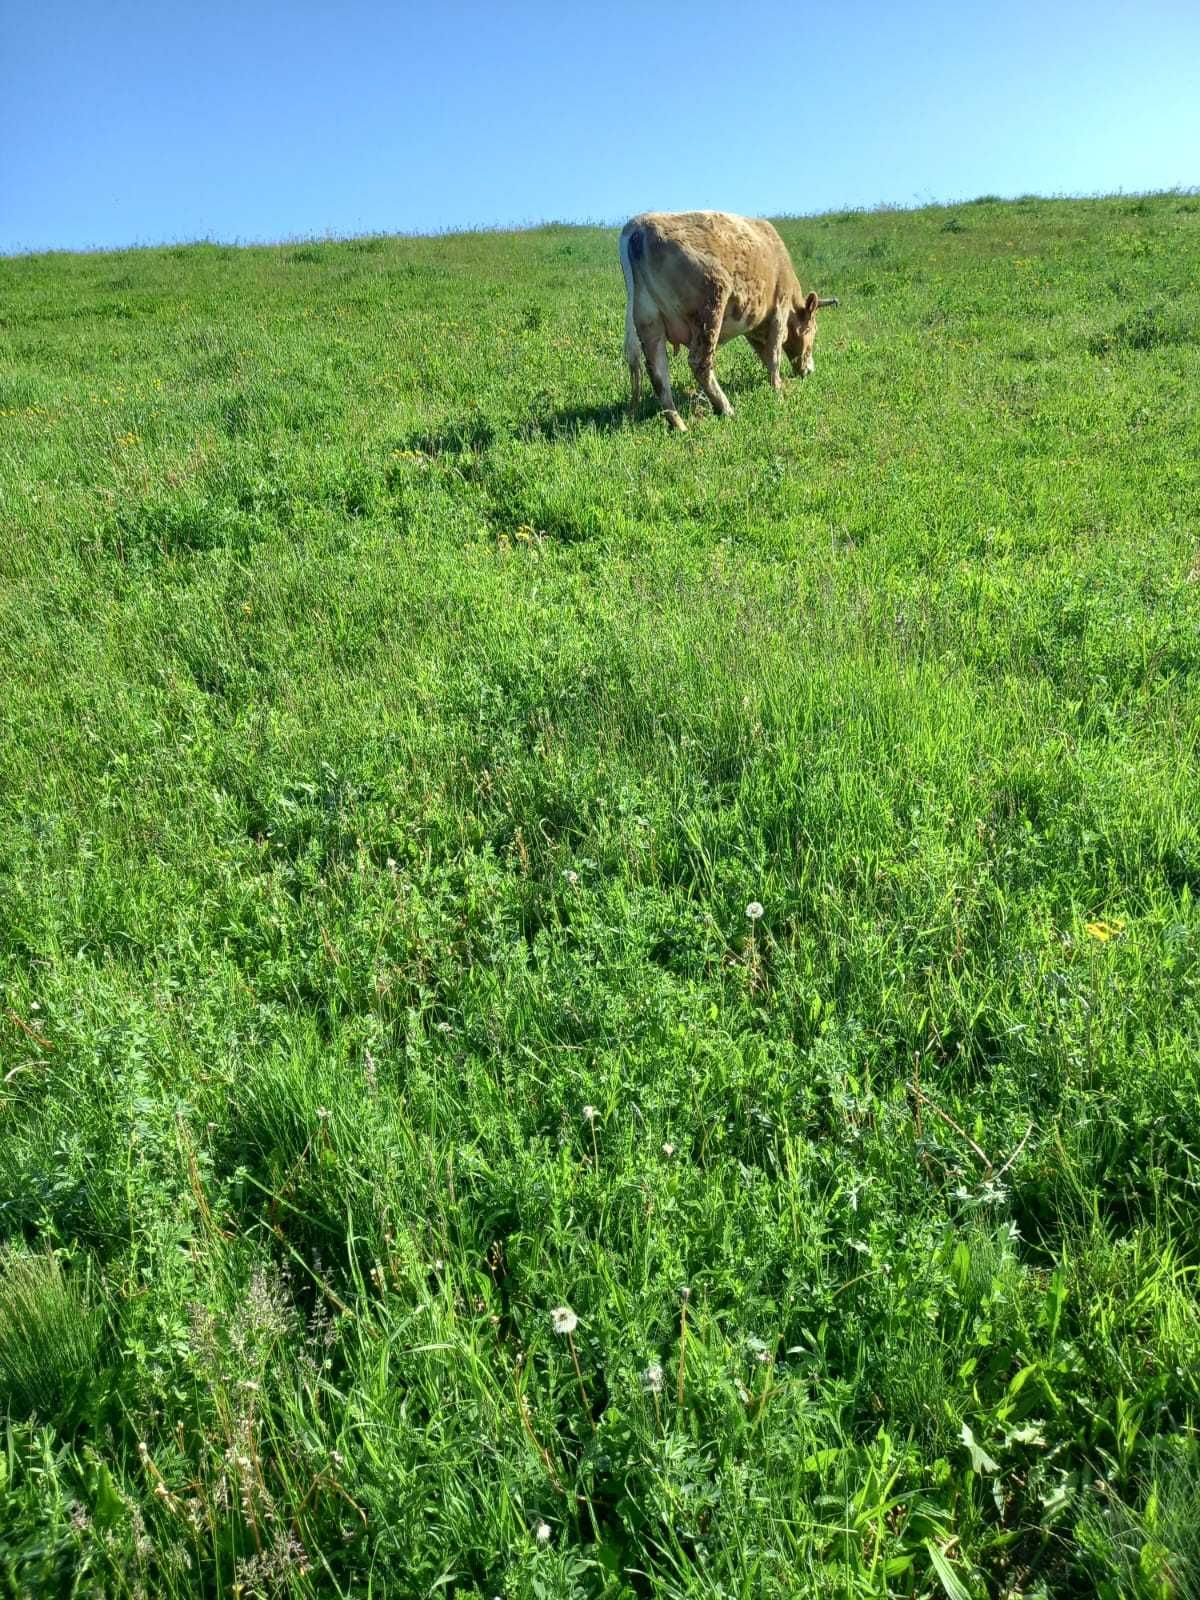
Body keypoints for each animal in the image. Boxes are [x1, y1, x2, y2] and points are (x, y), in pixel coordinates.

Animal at [620, 216, 838, 435]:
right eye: (813, 330)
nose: (810, 369)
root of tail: (639, 226)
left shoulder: (755, 327)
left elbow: (765, 354)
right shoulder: (779, 310)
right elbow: (775, 354)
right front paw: (778, 388)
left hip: (649, 322)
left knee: (658, 373)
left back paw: (679, 424)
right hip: (711, 306)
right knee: (699, 363)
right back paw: (725, 409)